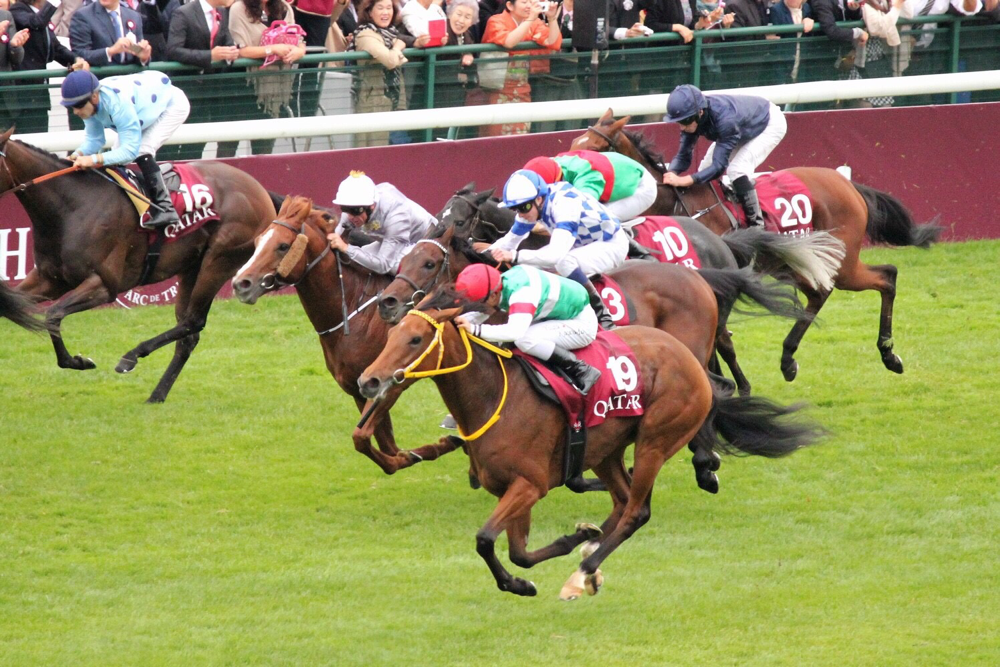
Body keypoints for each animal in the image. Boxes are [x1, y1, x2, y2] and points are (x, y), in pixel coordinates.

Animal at [0, 129, 278, 404]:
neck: (71, 207)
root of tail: (260, 190)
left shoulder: (104, 284)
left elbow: (54, 314)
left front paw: (79, 361)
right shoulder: (50, 279)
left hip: (219, 260)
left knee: (193, 321)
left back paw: (131, 357)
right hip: (191, 267)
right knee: (188, 334)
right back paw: (156, 395)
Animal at [232, 196, 466, 478]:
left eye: (283, 246)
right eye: (258, 242)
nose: (240, 284)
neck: (354, 314)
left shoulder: (390, 384)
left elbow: (363, 438)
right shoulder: (359, 389)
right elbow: (382, 444)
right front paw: (415, 454)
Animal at [356, 292, 824, 600]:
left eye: (416, 340)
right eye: (391, 335)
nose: (369, 381)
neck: (493, 397)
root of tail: (693, 361)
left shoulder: (529, 484)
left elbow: (486, 539)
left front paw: (518, 584)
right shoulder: (512, 488)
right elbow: (519, 551)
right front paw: (567, 542)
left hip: (655, 439)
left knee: (636, 511)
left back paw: (583, 572)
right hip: (606, 450)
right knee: (620, 501)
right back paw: (590, 548)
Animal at [572, 113, 944, 384]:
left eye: (594, 147)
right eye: (575, 142)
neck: (676, 202)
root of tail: (847, 183)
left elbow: (720, 338)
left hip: (842, 262)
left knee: (885, 277)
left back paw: (888, 354)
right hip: (793, 262)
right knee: (820, 293)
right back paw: (789, 359)